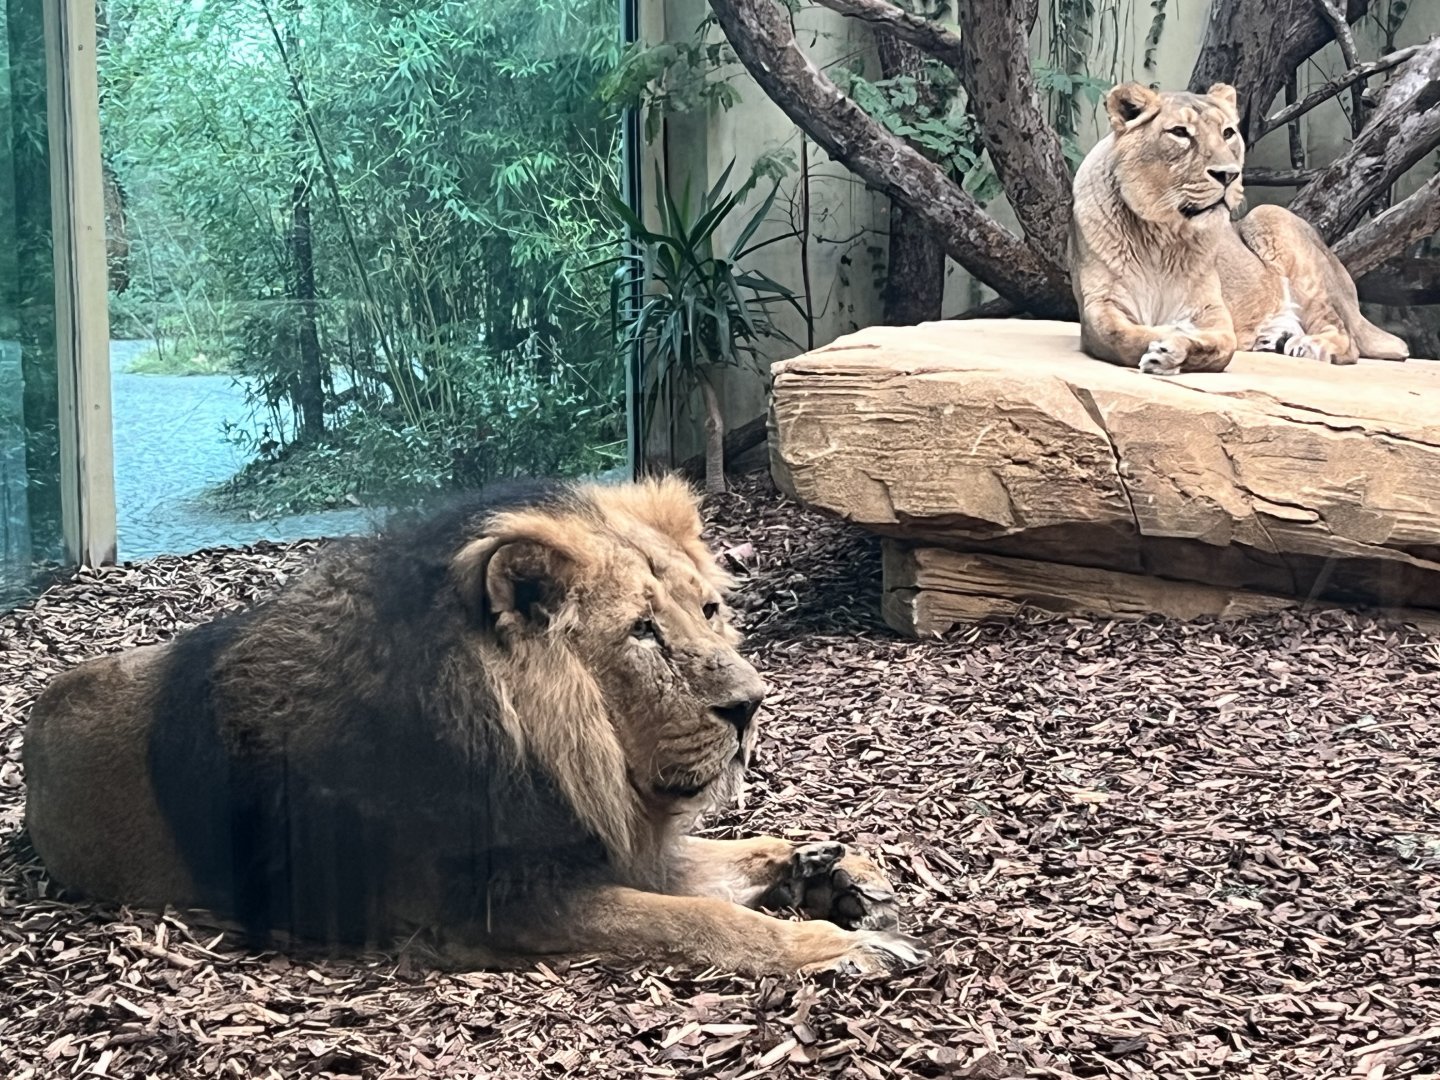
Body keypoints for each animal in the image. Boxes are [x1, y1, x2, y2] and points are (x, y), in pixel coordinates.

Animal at [22, 476, 929, 978]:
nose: (751, 705)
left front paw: (833, 871)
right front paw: (831, 947)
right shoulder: (494, 907)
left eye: (708, 610)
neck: (570, 756)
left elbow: (730, 860)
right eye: (641, 632)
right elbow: (700, 921)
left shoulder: (602, 846)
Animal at [1069, 81, 1409, 375]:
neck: (1164, 237)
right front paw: (1164, 341)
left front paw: (1174, 348)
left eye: (1228, 133)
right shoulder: (1100, 306)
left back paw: (1307, 345)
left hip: (1270, 217)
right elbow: (1120, 336)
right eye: (1179, 133)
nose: (1228, 175)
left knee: (1345, 338)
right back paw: (1273, 339)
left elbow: (1223, 347)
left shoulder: (1213, 313)